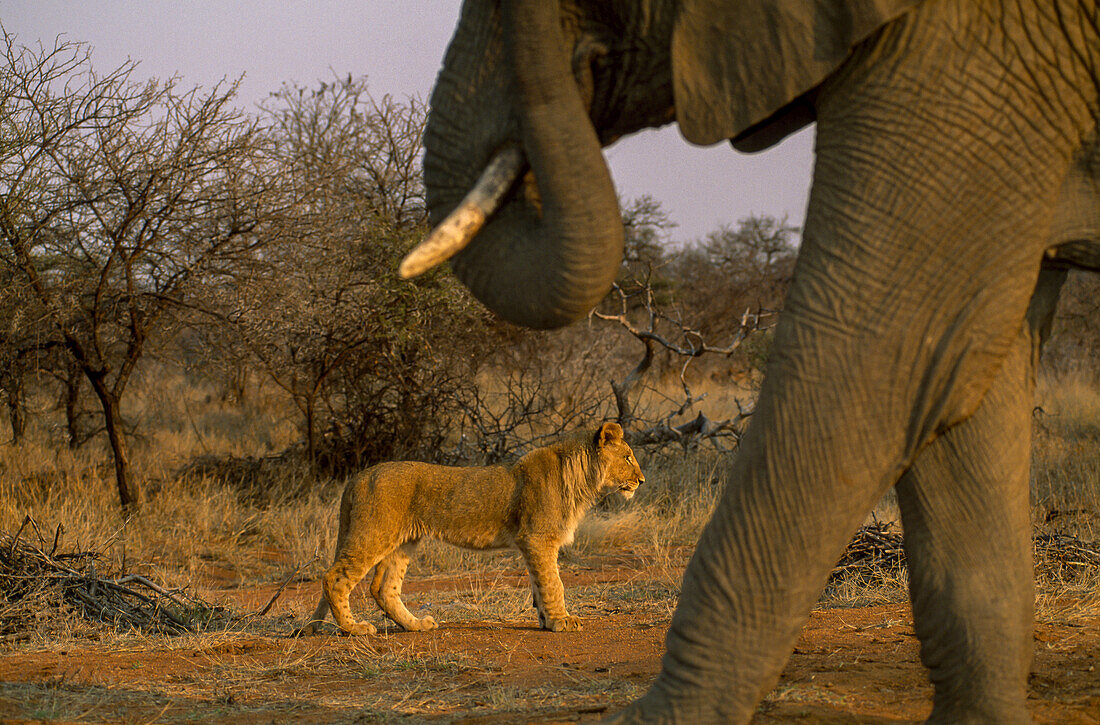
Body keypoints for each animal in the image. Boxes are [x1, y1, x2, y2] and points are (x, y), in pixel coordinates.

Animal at [301, 420, 642, 633]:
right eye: (627, 457)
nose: (641, 480)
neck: (582, 480)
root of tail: (357, 477)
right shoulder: (538, 538)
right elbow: (553, 583)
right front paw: (562, 621)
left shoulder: (531, 543)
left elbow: (538, 584)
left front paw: (546, 621)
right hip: (372, 535)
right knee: (334, 579)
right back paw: (355, 629)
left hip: (403, 542)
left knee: (383, 589)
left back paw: (415, 625)